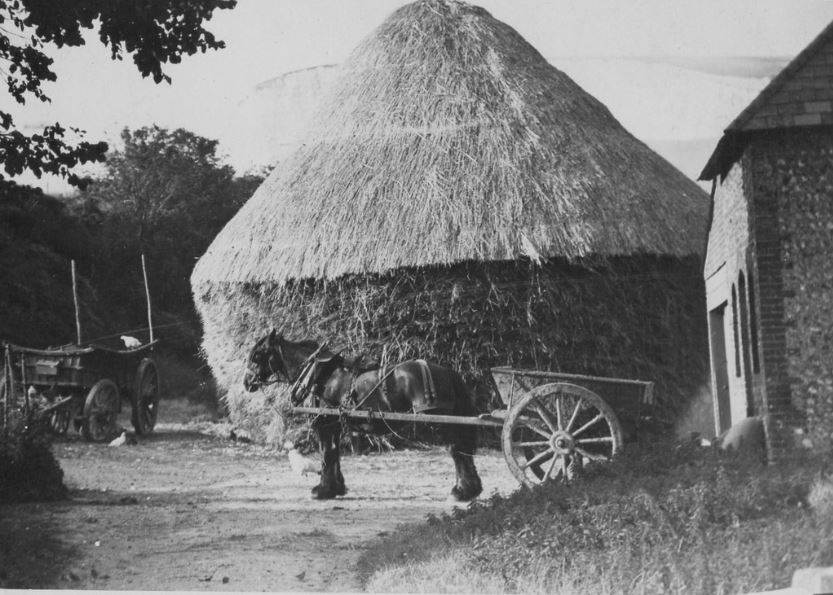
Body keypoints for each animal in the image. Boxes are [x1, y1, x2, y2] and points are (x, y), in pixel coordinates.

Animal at [242, 330, 480, 502]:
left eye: (257, 355)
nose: (247, 382)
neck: (318, 375)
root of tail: (447, 371)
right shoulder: (335, 423)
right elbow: (334, 453)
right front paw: (336, 488)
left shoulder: (324, 422)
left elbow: (326, 453)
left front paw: (322, 490)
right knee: (462, 450)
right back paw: (469, 489)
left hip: (440, 419)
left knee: (457, 450)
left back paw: (462, 491)